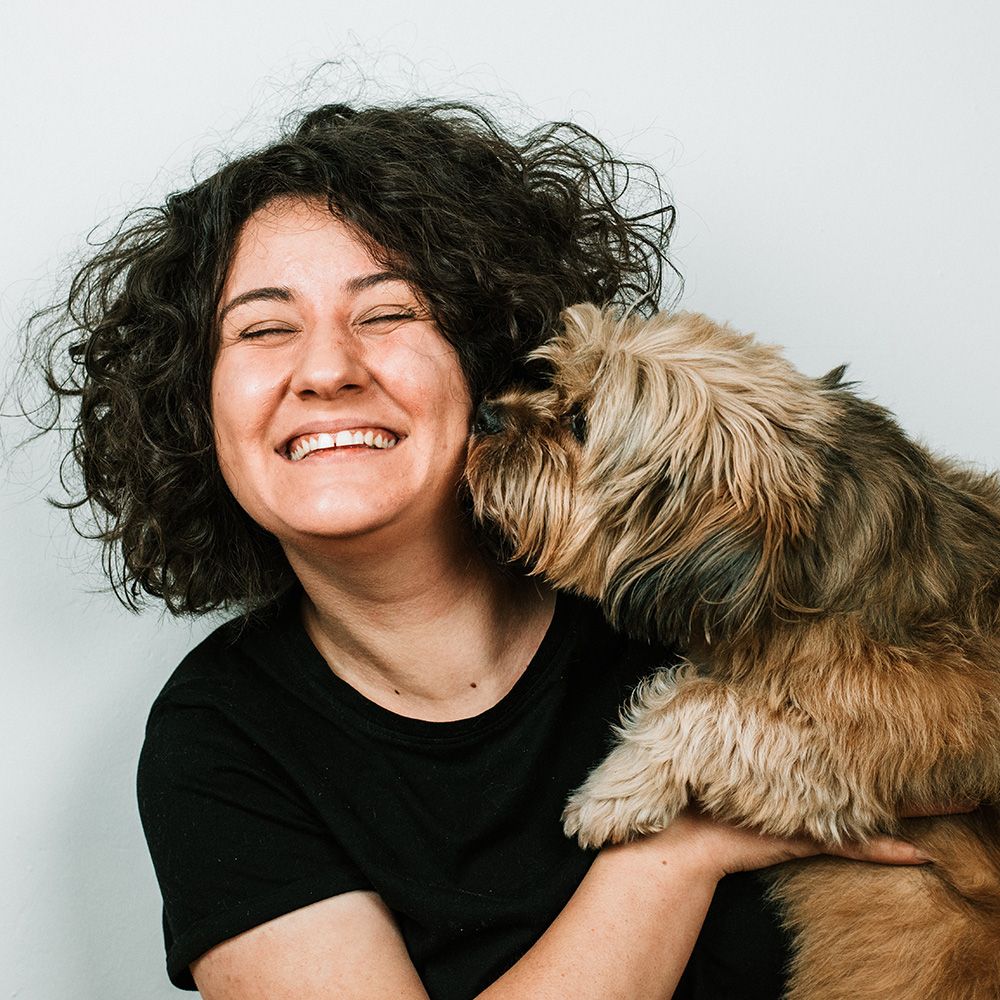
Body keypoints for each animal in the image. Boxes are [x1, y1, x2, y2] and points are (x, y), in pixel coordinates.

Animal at [466, 304, 1000, 1000]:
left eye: (580, 424)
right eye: (549, 377)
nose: (484, 414)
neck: (799, 567)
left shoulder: (891, 737)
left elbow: (707, 706)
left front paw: (613, 791)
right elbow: (693, 691)